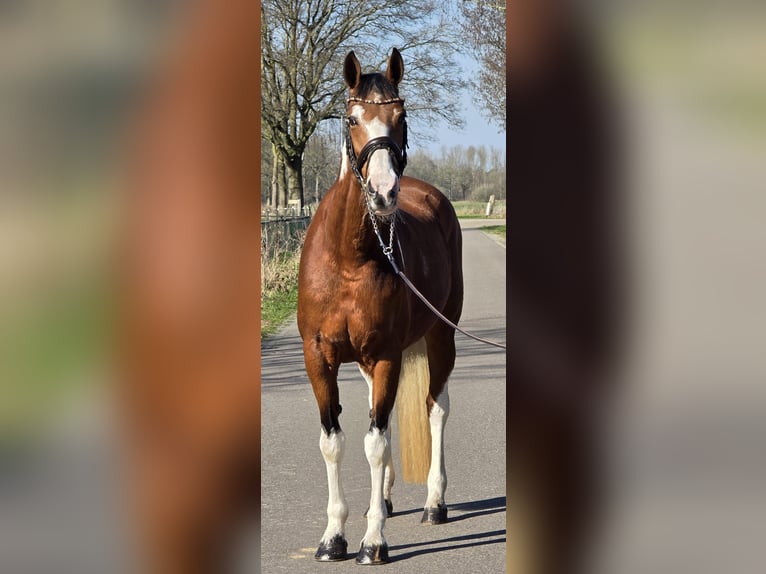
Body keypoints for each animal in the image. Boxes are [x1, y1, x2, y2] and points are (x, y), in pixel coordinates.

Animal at [297, 48, 464, 565]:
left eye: (401, 117)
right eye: (352, 119)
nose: (384, 192)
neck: (349, 258)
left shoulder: (388, 354)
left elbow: (375, 442)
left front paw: (373, 541)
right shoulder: (319, 357)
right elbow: (334, 441)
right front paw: (333, 537)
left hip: (441, 336)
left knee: (436, 408)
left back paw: (434, 503)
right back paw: (387, 499)